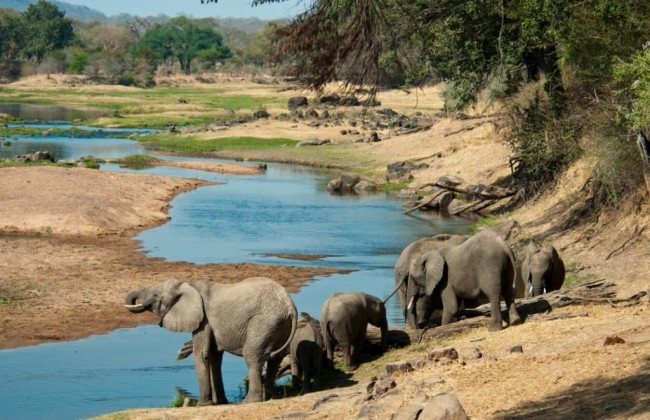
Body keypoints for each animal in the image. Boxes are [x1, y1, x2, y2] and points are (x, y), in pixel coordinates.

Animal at [123, 278, 296, 406]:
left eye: (156, 294)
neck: (188, 284)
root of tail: (290, 306)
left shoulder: (203, 319)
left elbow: (201, 354)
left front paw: (202, 404)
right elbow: (214, 356)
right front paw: (220, 402)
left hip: (263, 322)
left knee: (252, 356)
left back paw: (250, 401)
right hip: (277, 325)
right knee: (275, 359)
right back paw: (270, 397)